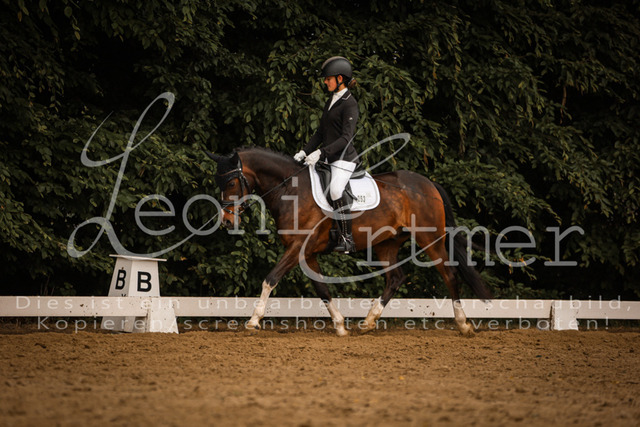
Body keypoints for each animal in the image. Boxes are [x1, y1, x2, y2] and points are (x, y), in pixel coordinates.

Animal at [206, 147, 491, 336]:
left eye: (231, 182)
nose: (227, 222)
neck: (292, 190)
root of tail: (428, 184)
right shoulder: (307, 253)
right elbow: (322, 289)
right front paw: (341, 325)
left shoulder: (297, 248)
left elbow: (270, 278)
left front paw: (253, 321)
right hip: (387, 244)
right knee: (396, 278)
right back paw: (368, 322)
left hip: (429, 239)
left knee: (449, 274)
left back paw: (463, 324)